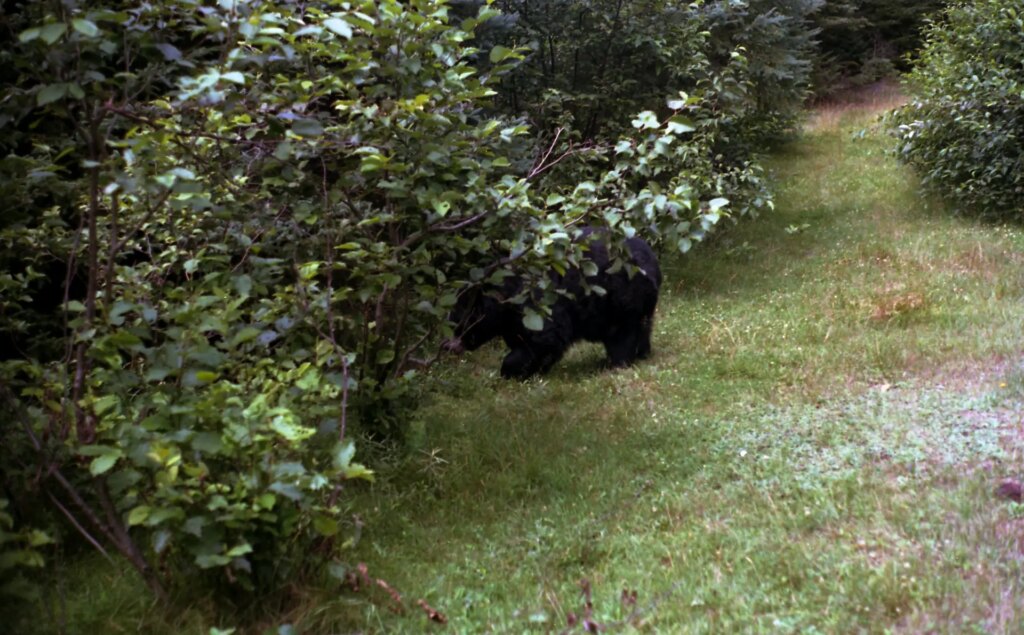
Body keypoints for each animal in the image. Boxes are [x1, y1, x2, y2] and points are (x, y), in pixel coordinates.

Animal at [448, 231, 663, 376]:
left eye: (458, 322)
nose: (450, 345)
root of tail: (652, 261)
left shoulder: (536, 302)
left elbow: (546, 337)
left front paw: (511, 371)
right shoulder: (511, 322)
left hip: (621, 295)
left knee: (622, 331)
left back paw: (617, 362)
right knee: (642, 326)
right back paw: (641, 353)